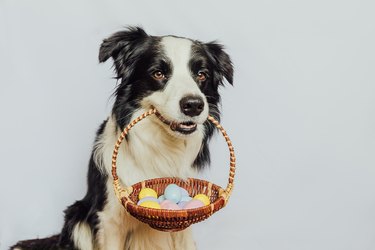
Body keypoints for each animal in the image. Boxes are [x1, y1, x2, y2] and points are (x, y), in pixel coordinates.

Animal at [11, 26, 234, 250]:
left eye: (202, 75)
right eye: (158, 73)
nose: (194, 105)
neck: (162, 147)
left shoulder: (183, 225)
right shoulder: (109, 220)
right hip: (78, 219)